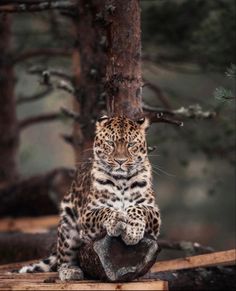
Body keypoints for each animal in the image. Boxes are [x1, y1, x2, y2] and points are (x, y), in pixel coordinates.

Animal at [18, 115, 160, 282]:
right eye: (110, 143)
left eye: (131, 144)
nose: (120, 161)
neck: (122, 181)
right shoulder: (87, 215)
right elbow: (105, 211)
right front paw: (117, 220)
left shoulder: (154, 214)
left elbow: (137, 208)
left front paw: (133, 231)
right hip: (67, 224)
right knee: (63, 257)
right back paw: (70, 271)